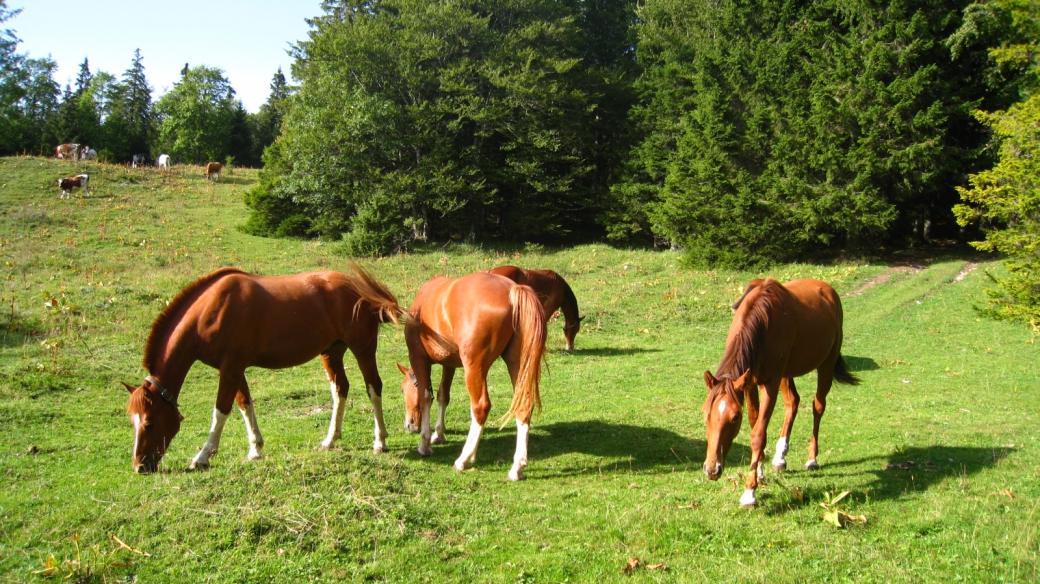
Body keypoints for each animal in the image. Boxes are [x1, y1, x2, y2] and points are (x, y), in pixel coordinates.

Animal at [119, 263, 399, 473]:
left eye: (149, 423)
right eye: (132, 422)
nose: (139, 467)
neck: (210, 311)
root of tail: (360, 289)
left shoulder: (230, 369)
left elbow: (220, 411)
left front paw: (202, 457)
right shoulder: (233, 369)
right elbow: (245, 405)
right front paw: (255, 449)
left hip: (363, 350)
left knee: (374, 388)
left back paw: (380, 441)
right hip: (332, 351)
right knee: (340, 389)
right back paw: (330, 440)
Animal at [397, 270, 549, 480]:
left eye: (403, 390)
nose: (409, 425)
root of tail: (512, 289)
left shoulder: (419, 359)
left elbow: (425, 397)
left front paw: (425, 443)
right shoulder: (449, 364)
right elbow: (443, 395)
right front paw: (439, 434)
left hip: (474, 369)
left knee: (480, 407)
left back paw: (464, 459)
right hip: (517, 365)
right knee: (524, 406)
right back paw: (517, 467)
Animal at [698, 276, 861, 505]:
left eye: (734, 418)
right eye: (706, 414)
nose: (712, 469)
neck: (762, 321)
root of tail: (827, 289)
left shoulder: (770, 383)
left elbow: (758, 434)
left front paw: (749, 491)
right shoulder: (749, 383)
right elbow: (755, 422)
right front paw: (760, 471)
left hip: (826, 365)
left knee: (818, 406)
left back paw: (812, 458)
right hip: (787, 373)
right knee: (793, 402)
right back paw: (780, 457)